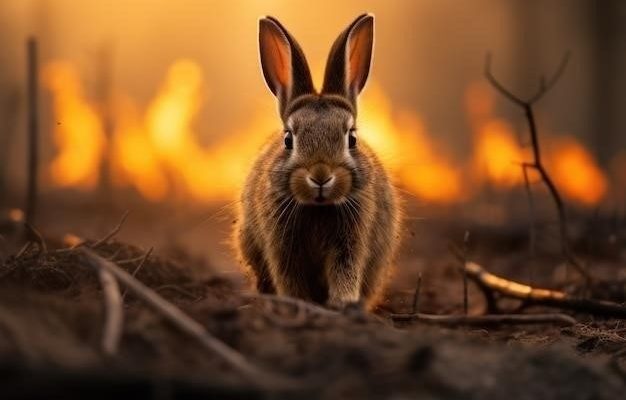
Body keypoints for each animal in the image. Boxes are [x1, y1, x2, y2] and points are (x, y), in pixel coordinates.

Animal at [234, 13, 400, 310]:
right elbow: (289, 275)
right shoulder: (282, 245)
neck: (318, 208)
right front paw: (298, 302)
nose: (321, 175)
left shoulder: (350, 242)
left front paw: (343, 303)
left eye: (352, 138)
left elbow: (345, 269)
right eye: (288, 139)